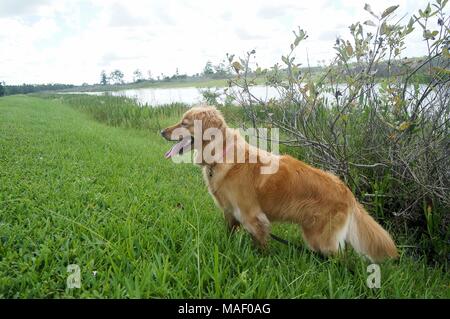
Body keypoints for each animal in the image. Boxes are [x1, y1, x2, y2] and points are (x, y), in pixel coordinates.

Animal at [161, 105, 398, 262]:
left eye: (184, 123)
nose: (161, 131)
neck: (221, 154)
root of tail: (346, 191)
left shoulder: (252, 217)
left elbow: (261, 247)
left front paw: (262, 263)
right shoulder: (230, 213)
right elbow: (229, 234)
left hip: (321, 239)